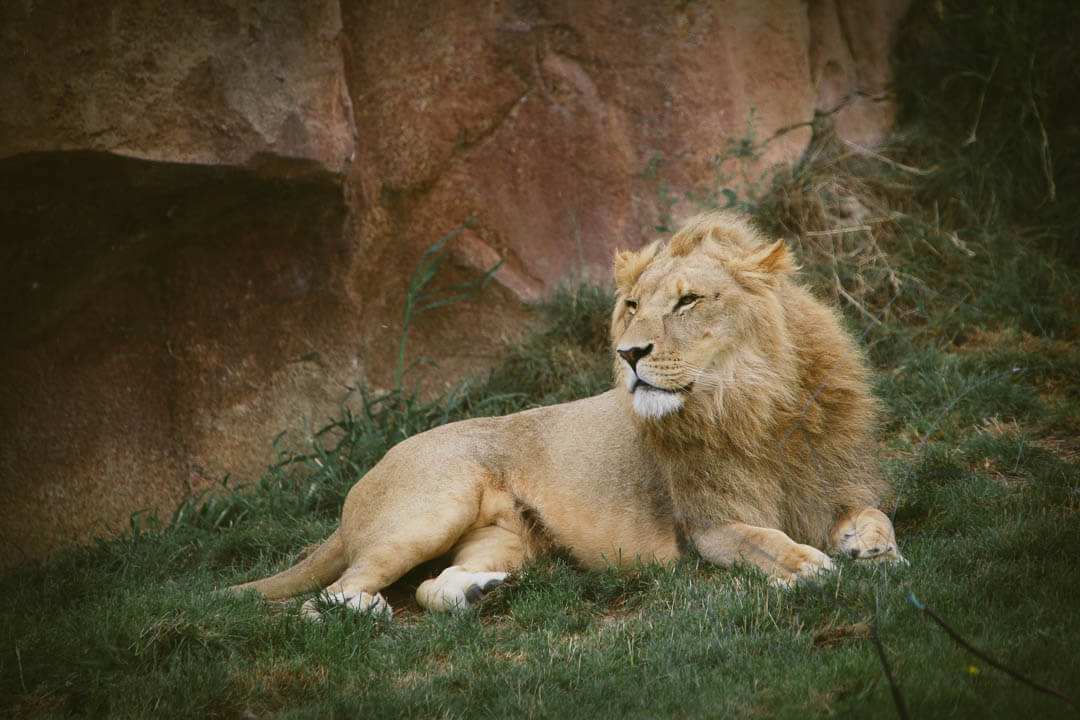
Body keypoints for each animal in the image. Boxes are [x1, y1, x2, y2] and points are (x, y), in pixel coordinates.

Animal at [227, 211, 902, 618]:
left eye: (687, 301)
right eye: (631, 306)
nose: (629, 353)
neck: (752, 404)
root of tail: (368, 472)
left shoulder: (838, 486)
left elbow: (877, 515)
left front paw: (877, 551)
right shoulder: (707, 527)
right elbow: (763, 539)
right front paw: (809, 564)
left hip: (504, 540)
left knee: (425, 586)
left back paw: (478, 590)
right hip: (428, 510)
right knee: (326, 598)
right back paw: (365, 609)